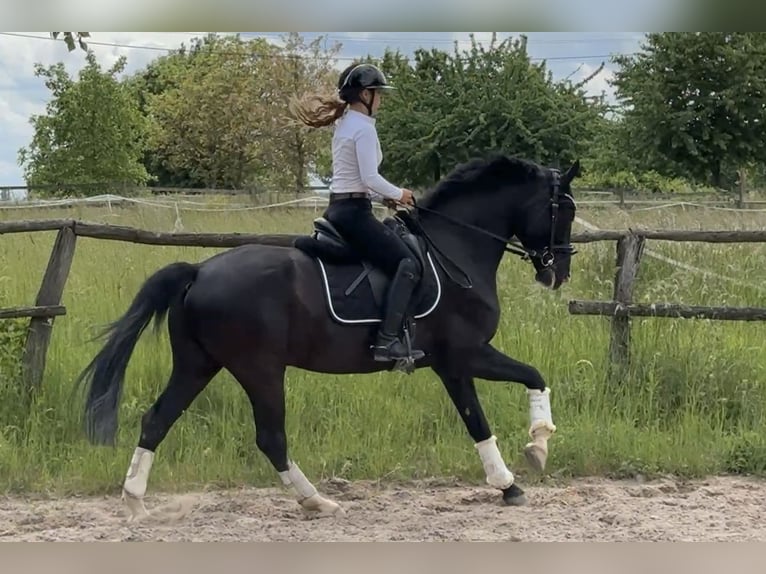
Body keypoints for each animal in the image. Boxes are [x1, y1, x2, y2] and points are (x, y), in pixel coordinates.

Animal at [77, 153, 580, 521]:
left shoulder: (455, 363)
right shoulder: (463, 356)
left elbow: (504, 399)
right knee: (271, 438)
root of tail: (199, 270)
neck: (455, 248)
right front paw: (527, 462)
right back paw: (316, 501)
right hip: (259, 369)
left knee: (156, 420)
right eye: (565, 210)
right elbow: (507, 397)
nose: (558, 272)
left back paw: (135, 502)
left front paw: (522, 466)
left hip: (198, 363)